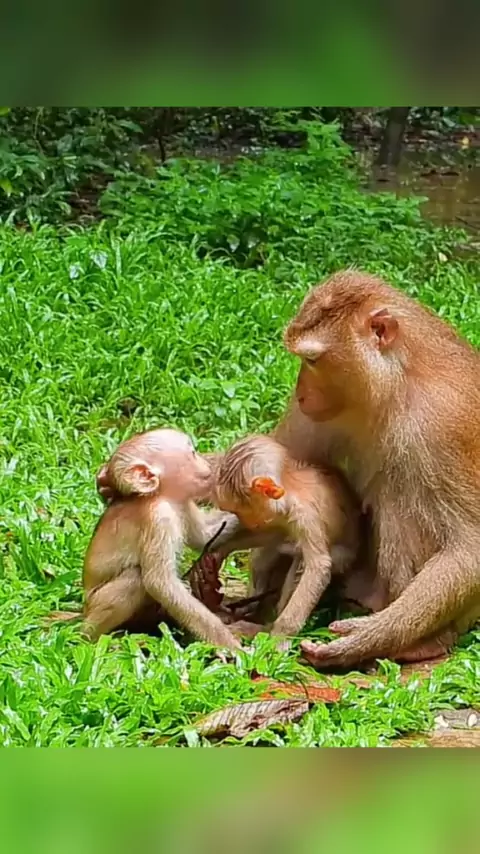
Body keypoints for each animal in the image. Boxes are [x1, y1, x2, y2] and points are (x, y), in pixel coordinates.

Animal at [83, 428, 242, 650]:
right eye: (193, 453)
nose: (207, 463)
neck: (161, 495)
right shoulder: (159, 518)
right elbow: (161, 584)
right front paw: (231, 646)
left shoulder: (183, 502)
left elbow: (205, 536)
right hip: (94, 603)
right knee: (135, 578)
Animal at [212, 434, 360, 640]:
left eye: (239, 511)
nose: (245, 522)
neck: (291, 492)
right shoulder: (280, 516)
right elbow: (273, 533)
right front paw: (221, 549)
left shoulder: (306, 517)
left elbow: (318, 566)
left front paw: (280, 636)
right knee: (264, 558)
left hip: (343, 558)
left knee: (302, 562)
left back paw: (264, 626)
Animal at [274, 269, 480, 668]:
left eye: (312, 361)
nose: (300, 392)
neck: (396, 383)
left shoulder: (446, 423)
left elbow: (469, 545)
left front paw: (370, 636)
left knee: (403, 496)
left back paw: (423, 642)